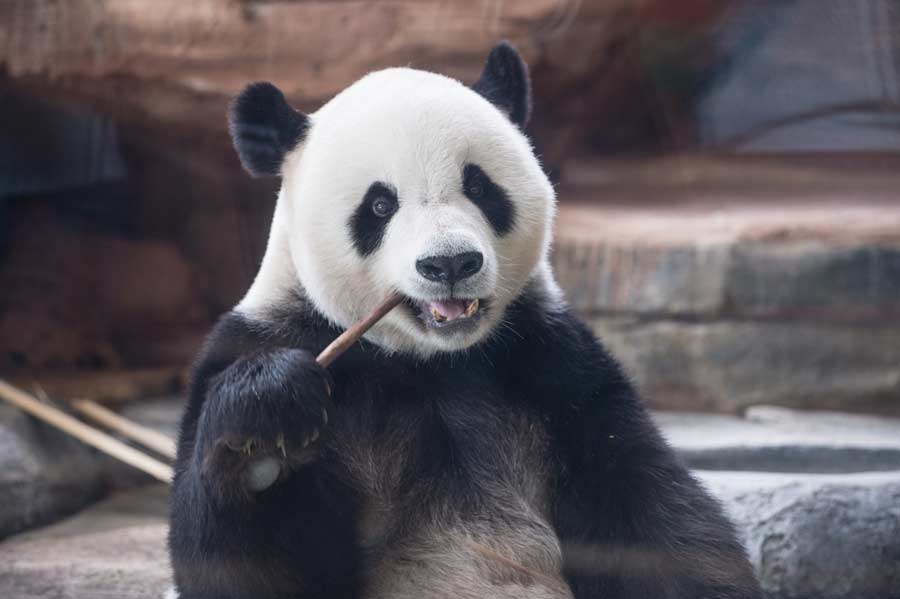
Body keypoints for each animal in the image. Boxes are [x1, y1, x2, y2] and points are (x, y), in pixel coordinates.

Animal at [168, 42, 761, 599]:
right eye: (379, 206)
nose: (450, 264)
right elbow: (245, 568)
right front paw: (268, 424)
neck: (431, 359)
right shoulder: (264, 340)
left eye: (478, 186)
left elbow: (652, 517)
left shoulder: (554, 367)